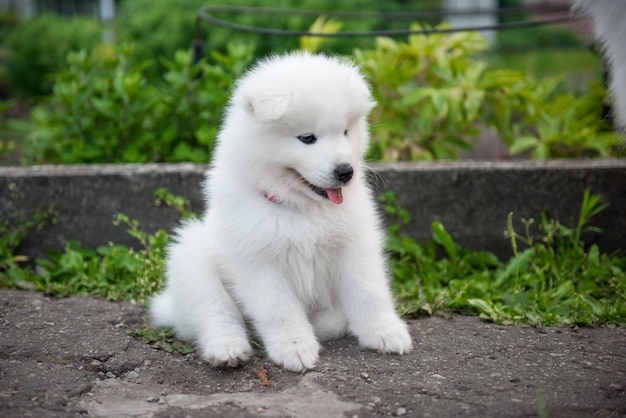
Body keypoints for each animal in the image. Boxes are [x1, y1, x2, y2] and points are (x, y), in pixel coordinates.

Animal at [150, 53, 414, 372]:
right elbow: (279, 308)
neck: (301, 208)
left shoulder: (354, 244)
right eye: (307, 138)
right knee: (216, 314)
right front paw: (295, 347)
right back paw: (228, 349)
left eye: (346, 132)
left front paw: (385, 332)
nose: (345, 172)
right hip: (192, 256)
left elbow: (369, 290)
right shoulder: (258, 262)